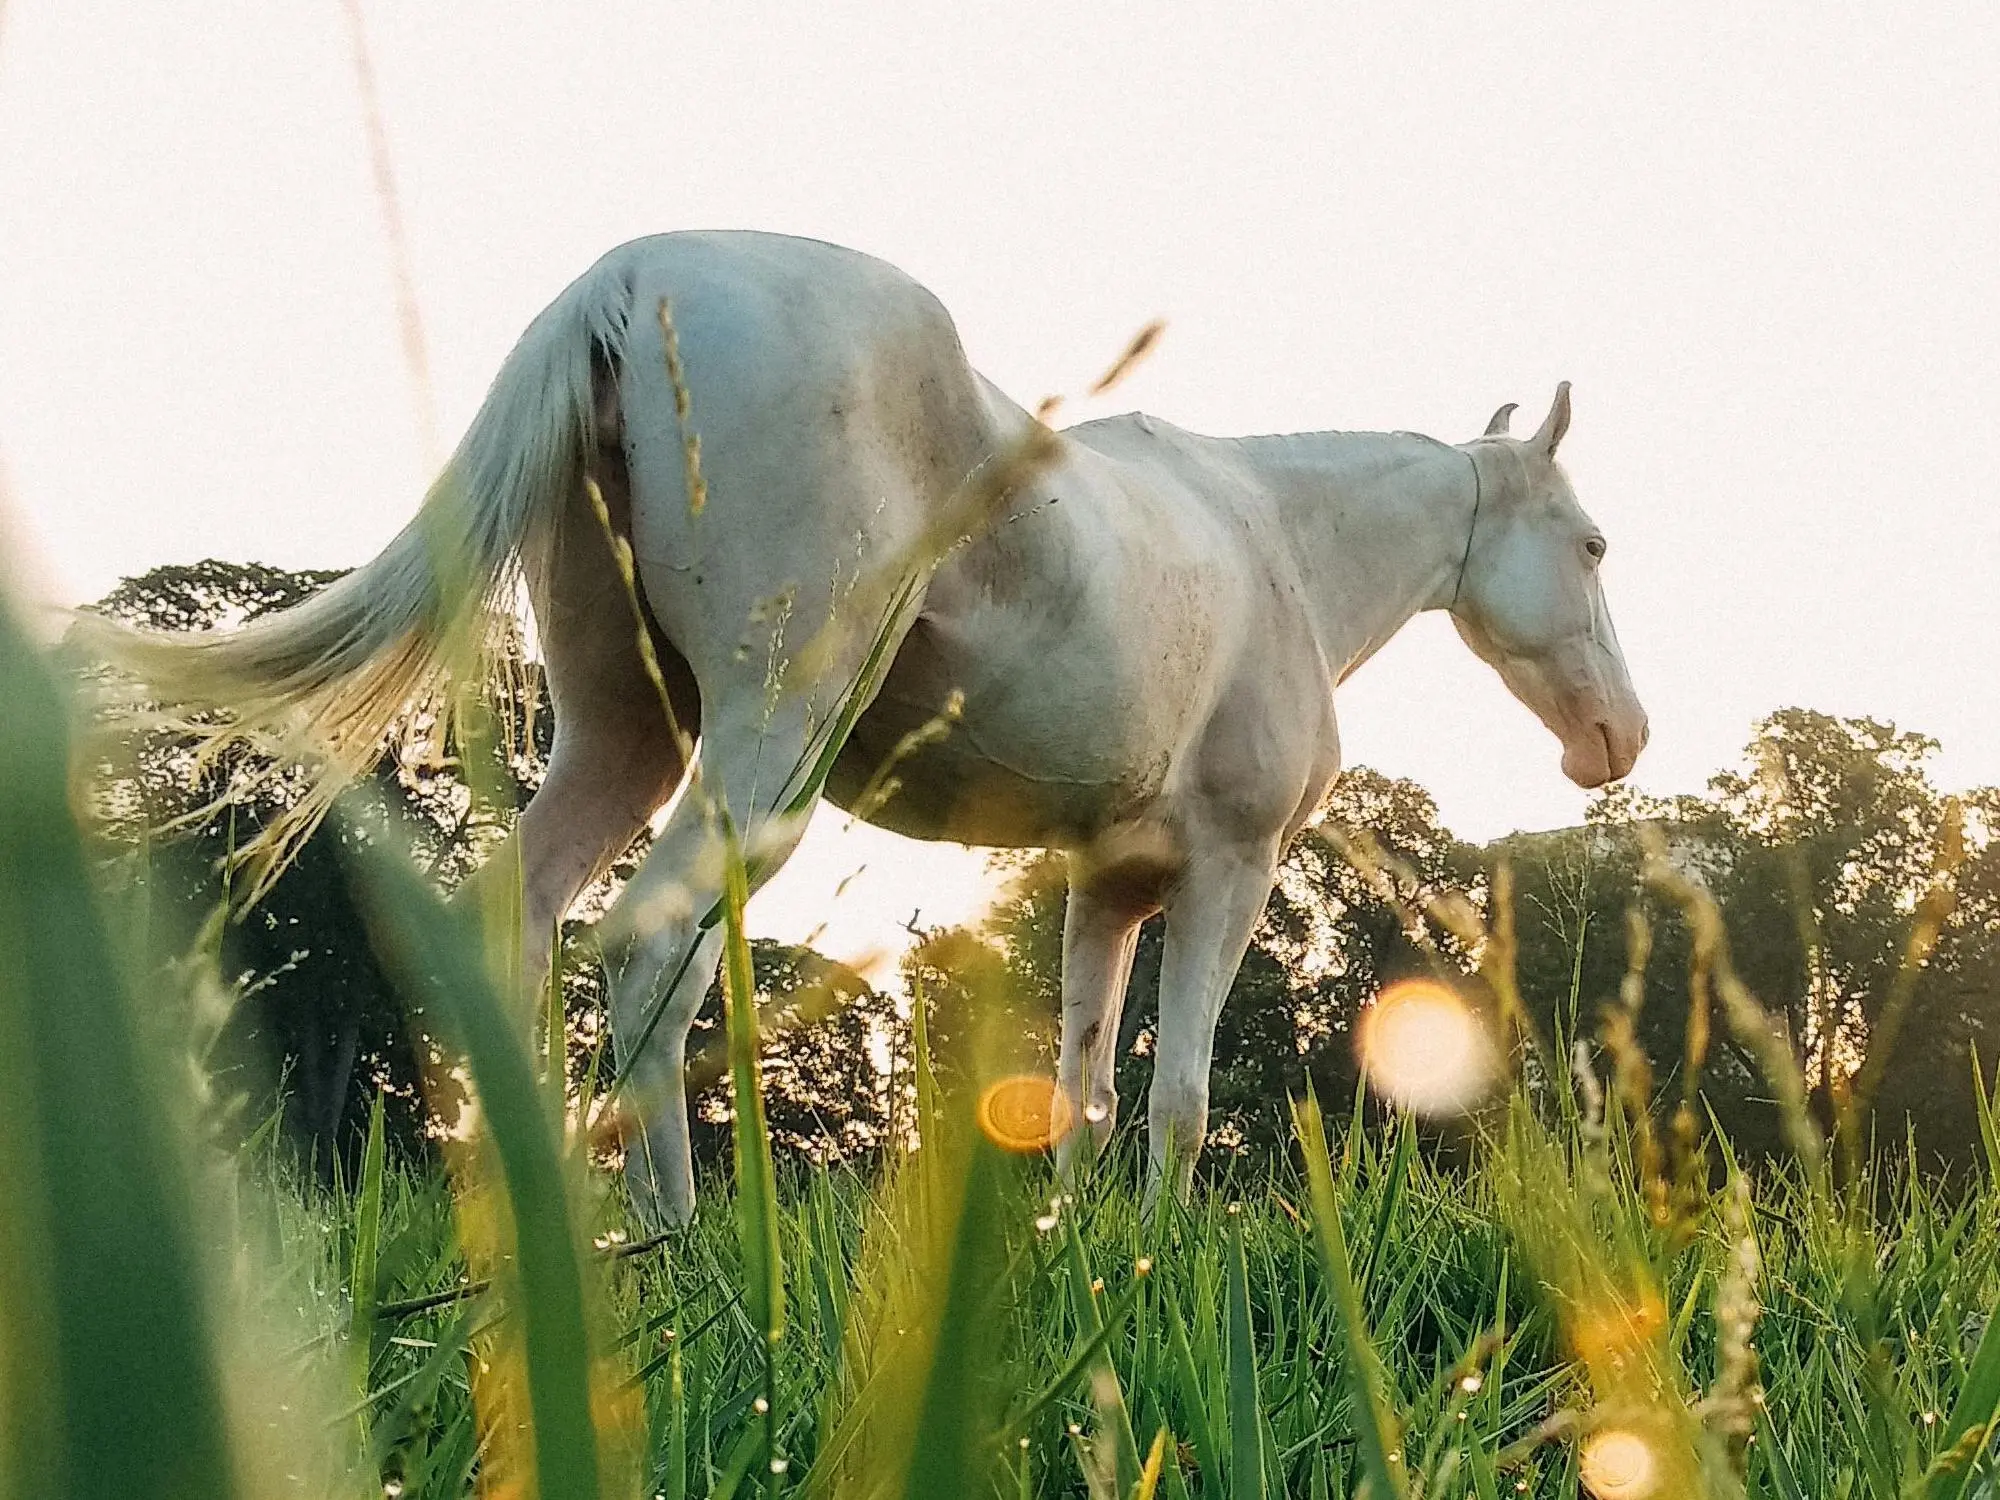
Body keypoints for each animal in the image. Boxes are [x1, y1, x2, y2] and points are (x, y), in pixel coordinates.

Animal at [97, 229, 1640, 1224]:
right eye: (1593, 544)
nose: (1615, 737)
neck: (1272, 544)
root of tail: (627, 279)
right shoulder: (1229, 868)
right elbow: (1181, 1099)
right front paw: (1159, 1266)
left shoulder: (1109, 887)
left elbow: (1082, 1091)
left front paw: (1085, 1267)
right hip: (764, 741)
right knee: (648, 943)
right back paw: (681, 1254)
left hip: (622, 738)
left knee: (524, 924)